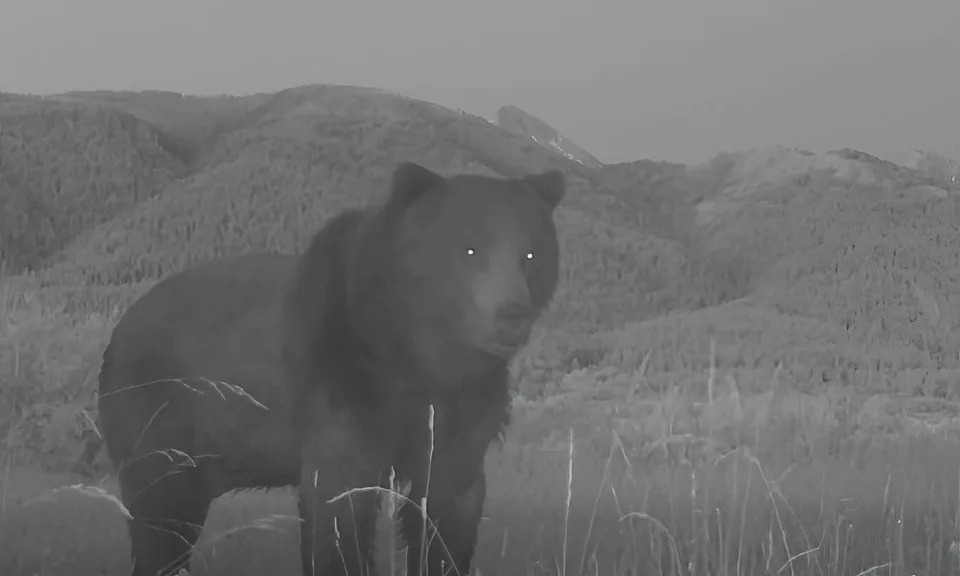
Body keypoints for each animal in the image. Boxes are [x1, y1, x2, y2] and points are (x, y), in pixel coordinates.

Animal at [96, 161, 566, 576]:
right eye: (469, 248)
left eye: (531, 253)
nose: (511, 314)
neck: (417, 355)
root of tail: (120, 328)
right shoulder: (344, 383)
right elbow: (338, 508)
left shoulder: (465, 409)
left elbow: (448, 510)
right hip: (158, 417)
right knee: (160, 518)